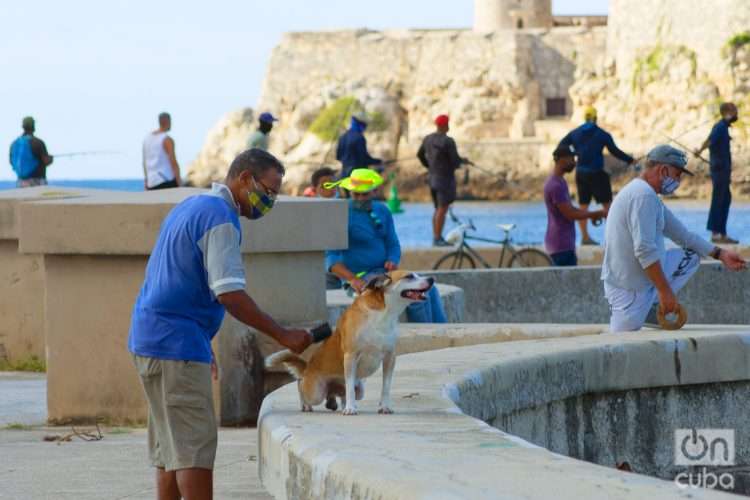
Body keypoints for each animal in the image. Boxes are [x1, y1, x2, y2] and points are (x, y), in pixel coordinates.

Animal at [268, 272, 434, 416]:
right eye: (409, 276)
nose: (431, 279)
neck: (384, 314)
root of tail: (308, 368)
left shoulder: (390, 357)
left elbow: (385, 386)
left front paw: (384, 406)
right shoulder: (350, 356)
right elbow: (349, 387)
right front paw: (350, 409)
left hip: (360, 388)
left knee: (341, 393)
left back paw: (337, 402)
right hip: (315, 392)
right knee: (302, 386)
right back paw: (308, 404)